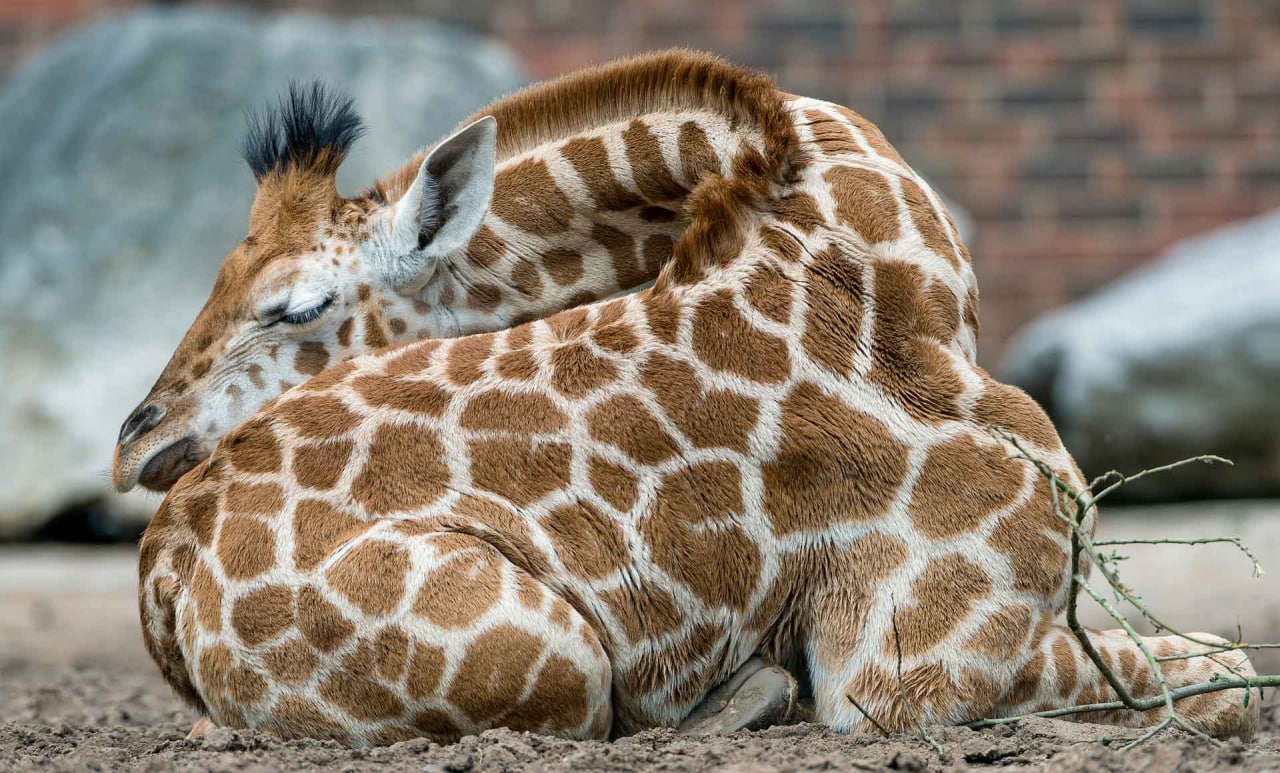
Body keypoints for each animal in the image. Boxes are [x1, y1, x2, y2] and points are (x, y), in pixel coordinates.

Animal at [135, 49, 1254, 747]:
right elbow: (1220, 673)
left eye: (293, 306)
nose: (135, 438)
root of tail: (163, 567)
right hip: (554, 651)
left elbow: (1210, 661)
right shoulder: (902, 670)